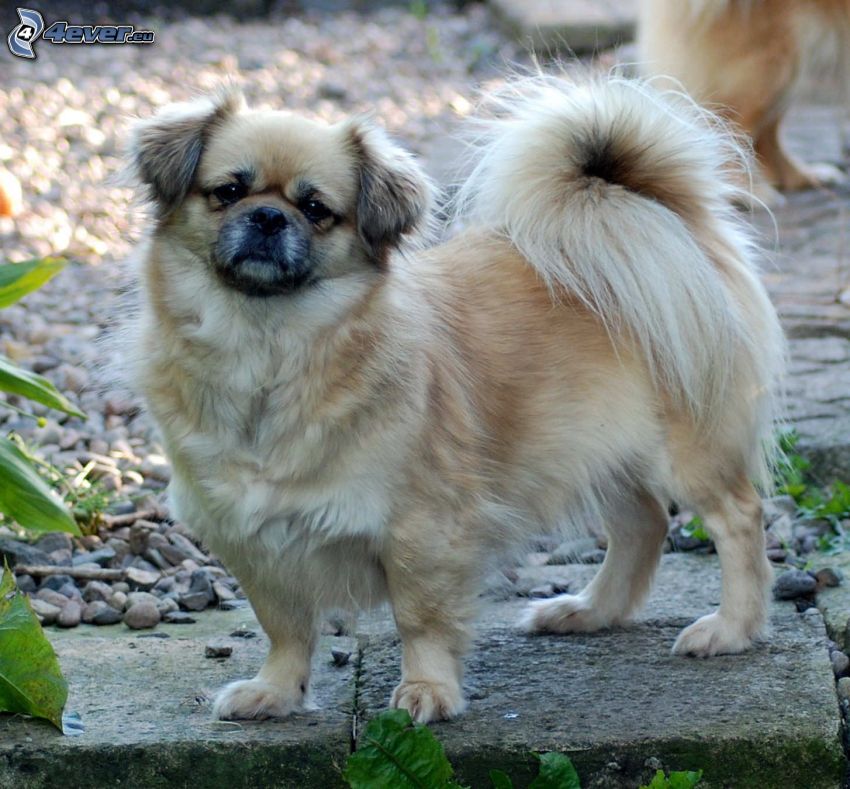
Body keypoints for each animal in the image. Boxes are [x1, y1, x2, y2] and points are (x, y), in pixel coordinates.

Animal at [129, 77, 784, 724]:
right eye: (227, 192)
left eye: (316, 210)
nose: (267, 216)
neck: (267, 351)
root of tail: (666, 220)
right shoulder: (253, 541)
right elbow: (285, 627)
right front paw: (276, 692)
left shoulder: (422, 532)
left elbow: (421, 620)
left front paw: (427, 691)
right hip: (601, 451)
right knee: (642, 525)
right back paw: (590, 611)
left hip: (685, 453)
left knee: (737, 519)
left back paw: (730, 629)